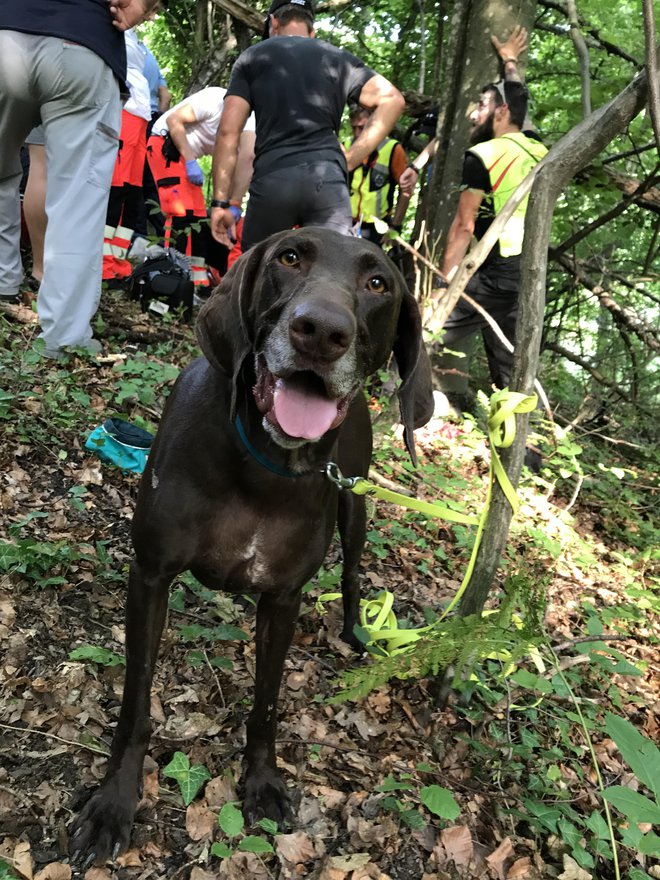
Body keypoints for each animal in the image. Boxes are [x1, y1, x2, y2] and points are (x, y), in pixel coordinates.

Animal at [71, 227, 434, 868]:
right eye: (290, 257)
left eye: (378, 283)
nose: (320, 330)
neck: (263, 466)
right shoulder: (151, 576)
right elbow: (136, 703)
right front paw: (114, 803)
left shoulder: (283, 598)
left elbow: (266, 702)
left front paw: (262, 781)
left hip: (356, 503)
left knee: (353, 573)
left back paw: (356, 633)